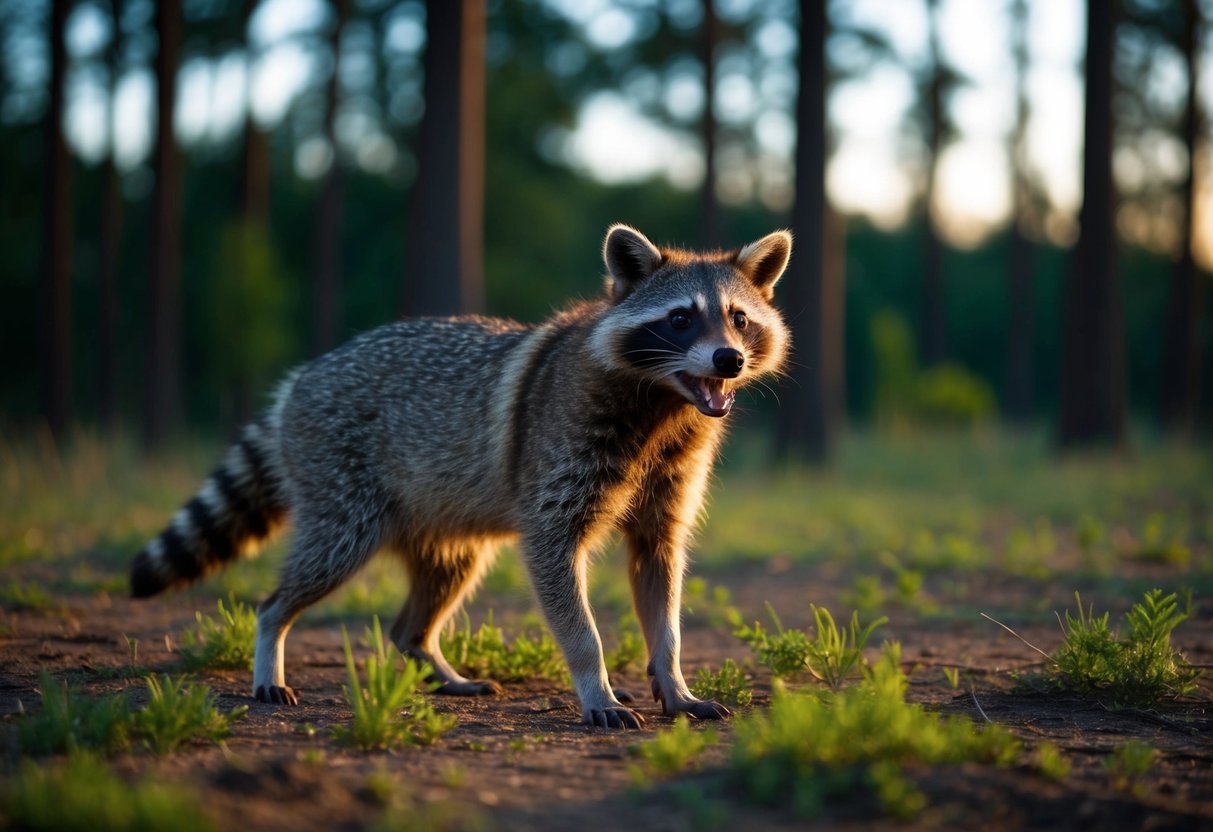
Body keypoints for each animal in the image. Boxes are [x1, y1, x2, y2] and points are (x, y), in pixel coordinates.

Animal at [131, 224, 791, 728]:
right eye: (680, 319)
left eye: (738, 318)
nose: (728, 359)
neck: (663, 403)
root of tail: (302, 378)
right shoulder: (559, 460)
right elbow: (561, 576)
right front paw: (595, 680)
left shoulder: (671, 479)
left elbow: (661, 576)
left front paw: (673, 678)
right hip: (341, 487)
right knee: (318, 564)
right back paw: (272, 637)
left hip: (442, 518)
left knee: (436, 588)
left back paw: (427, 654)